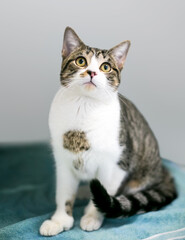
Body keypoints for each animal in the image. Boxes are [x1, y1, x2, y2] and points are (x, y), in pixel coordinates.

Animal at [39, 27, 176, 235]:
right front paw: (60, 220)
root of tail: (164, 172)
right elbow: (64, 194)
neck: (84, 107)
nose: (92, 72)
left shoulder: (118, 163)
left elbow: (106, 192)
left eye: (105, 67)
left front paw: (92, 217)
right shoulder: (63, 161)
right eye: (81, 61)